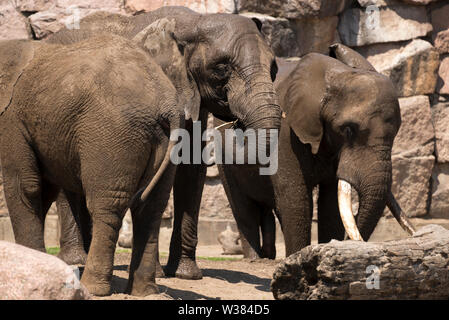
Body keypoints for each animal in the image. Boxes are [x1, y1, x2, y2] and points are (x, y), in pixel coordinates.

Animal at [0, 19, 200, 296]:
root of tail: (167, 106)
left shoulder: (12, 117)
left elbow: (25, 186)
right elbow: (42, 190)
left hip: (113, 135)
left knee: (107, 207)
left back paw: (93, 288)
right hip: (167, 141)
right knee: (151, 209)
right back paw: (144, 292)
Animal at [47, 6, 282, 278]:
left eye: (274, 68)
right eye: (222, 67)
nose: (237, 124)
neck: (193, 23)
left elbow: (192, 166)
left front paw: (186, 274)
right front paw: (160, 274)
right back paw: (75, 259)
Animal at [215, 43, 414, 260]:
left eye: (396, 133)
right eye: (348, 130)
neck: (335, 75)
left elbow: (330, 205)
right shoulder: (285, 132)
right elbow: (295, 198)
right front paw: (296, 258)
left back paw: (268, 257)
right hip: (223, 156)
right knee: (243, 208)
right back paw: (255, 259)